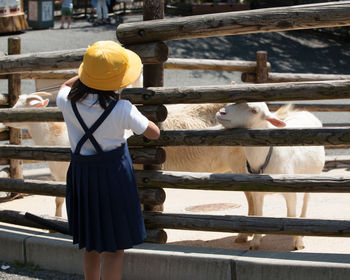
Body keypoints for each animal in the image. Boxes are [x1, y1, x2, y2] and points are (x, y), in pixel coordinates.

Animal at [216, 102, 326, 249]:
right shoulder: (256, 191)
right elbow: (259, 214)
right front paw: (255, 242)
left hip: (313, 176)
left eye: (254, 110)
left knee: (305, 201)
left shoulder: (291, 190)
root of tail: (305, 112)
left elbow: (291, 215)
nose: (221, 112)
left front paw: (297, 243)